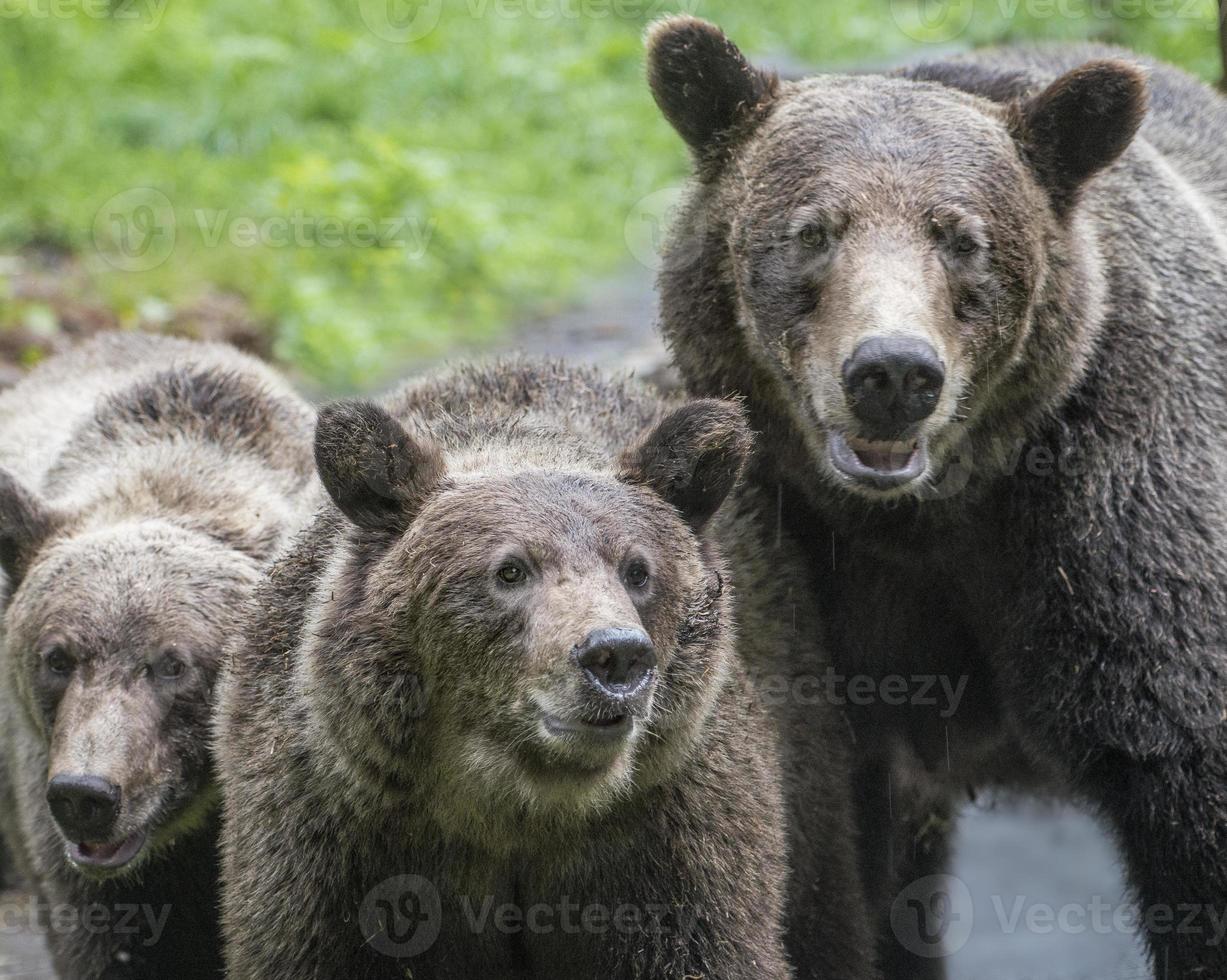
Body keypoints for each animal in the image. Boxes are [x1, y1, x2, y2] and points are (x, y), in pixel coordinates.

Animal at [215, 363, 878, 980]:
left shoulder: (668, 839)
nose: (616, 656)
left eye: (638, 570)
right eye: (510, 570)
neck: (517, 805)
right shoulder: (337, 837)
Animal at [642, 15, 1227, 980]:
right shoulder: (820, 595)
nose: (891, 373)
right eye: (813, 230)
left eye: (960, 237)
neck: (932, 518)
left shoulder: (1118, 538)